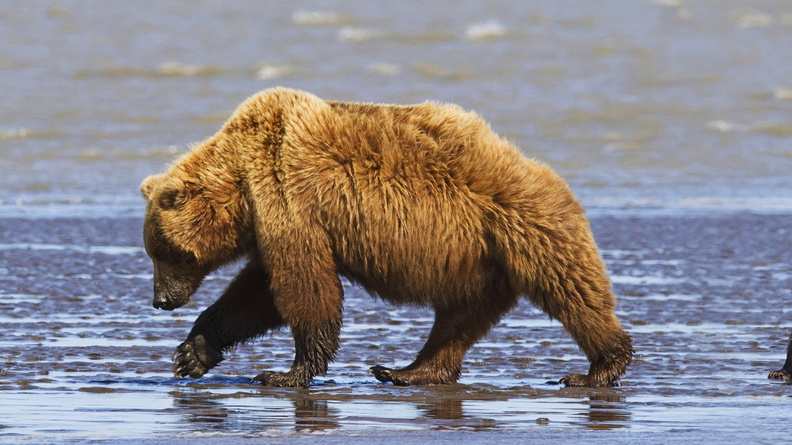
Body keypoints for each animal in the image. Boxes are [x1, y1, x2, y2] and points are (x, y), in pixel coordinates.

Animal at [140, 87, 633, 388]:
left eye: (167, 253)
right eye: (154, 252)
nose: (161, 300)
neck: (242, 183)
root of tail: (552, 175)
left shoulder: (289, 197)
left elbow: (302, 287)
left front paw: (287, 372)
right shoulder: (273, 217)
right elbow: (253, 294)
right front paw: (192, 353)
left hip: (527, 228)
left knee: (574, 293)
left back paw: (599, 367)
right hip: (480, 261)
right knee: (459, 317)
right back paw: (410, 370)